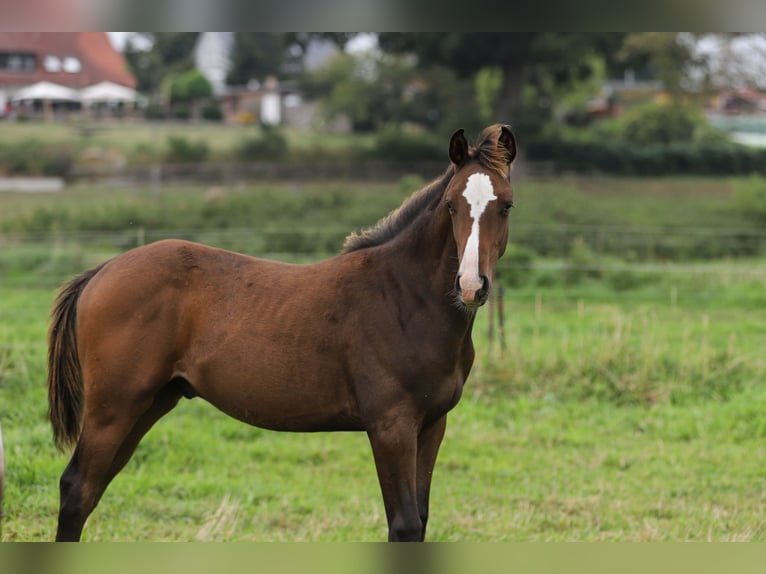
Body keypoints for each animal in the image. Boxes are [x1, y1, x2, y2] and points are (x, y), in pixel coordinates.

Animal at [46, 124, 516, 544]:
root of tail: (101, 271)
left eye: (507, 205)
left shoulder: (432, 424)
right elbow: (404, 525)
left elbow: (420, 519)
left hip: (149, 403)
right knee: (77, 489)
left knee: (91, 489)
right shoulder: (391, 426)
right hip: (114, 407)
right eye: (452, 205)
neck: (404, 296)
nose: (470, 286)